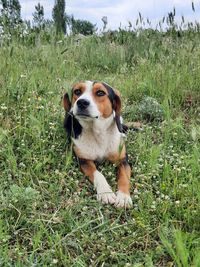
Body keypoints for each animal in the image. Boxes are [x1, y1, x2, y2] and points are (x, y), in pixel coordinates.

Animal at [63, 80, 132, 208]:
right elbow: (98, 174)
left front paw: (124, 197)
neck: (97, 133)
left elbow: (124, 177)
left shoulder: (123, 160)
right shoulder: (84, 160)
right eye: (77, 91)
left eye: (100, 93)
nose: (82, 102)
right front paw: (106, 193)